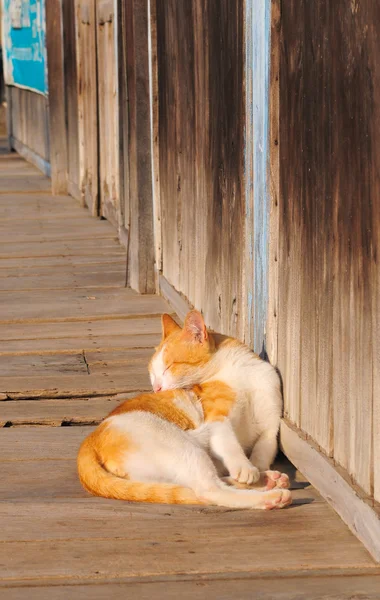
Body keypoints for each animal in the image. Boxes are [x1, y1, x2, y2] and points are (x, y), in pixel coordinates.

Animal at [77, 310, 290, 510]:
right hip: (184, 448)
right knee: (209, 490)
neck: (241, 371)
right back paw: (271, 496)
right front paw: (245, 467)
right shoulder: (217, 419)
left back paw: (269, 480)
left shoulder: (271, 426)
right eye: (152, 374)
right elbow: (229, 443)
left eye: (168, 368)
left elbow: (264, 448)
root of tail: (89, 442)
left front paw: (257, 468)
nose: (157, 388)